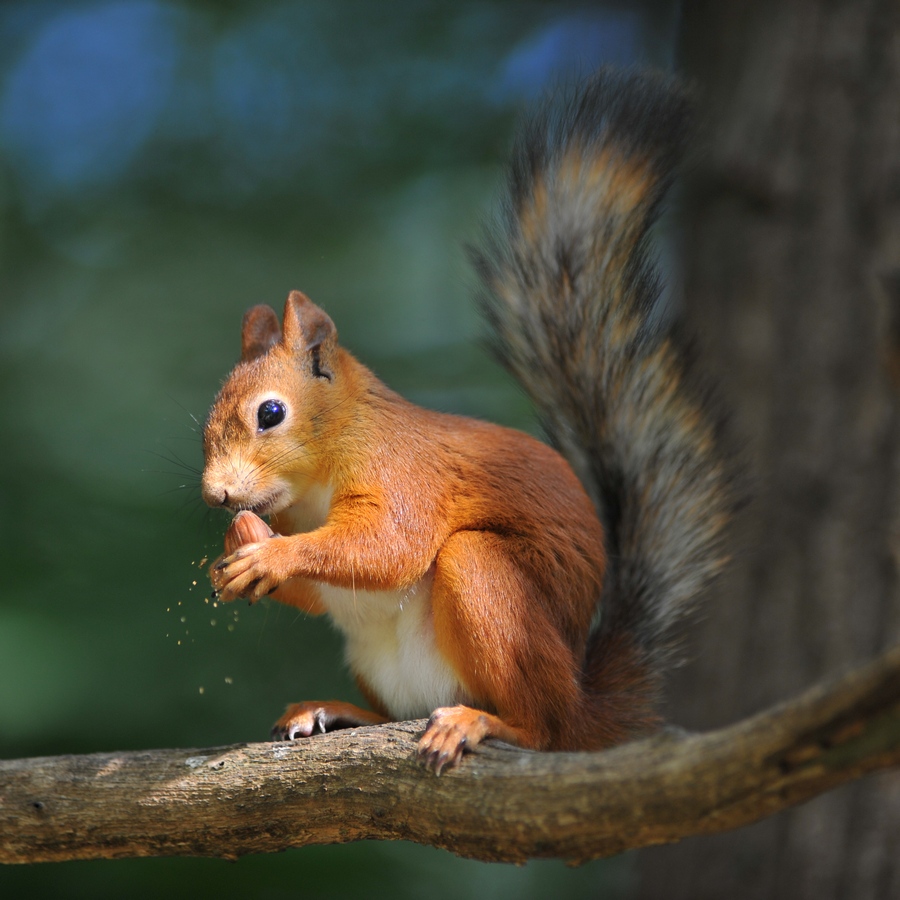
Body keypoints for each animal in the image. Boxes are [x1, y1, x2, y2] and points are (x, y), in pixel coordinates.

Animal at [200, 70, 728, 772]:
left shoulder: (405, 473)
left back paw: (485, 722)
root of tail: (585, 709)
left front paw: (273, 555)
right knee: (395, 709)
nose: (216, 494)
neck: (314, 481)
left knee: (541, 725)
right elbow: (328, 587)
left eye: (271, 413)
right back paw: (334, 711)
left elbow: (387, 544)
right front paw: (235, 554)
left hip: (489, 587)